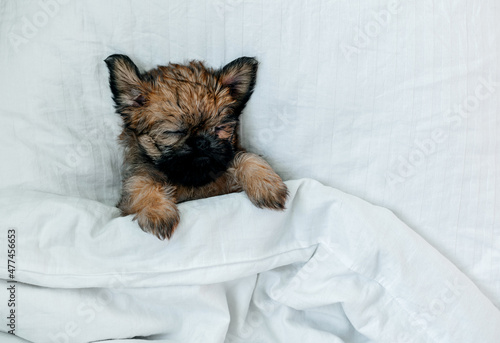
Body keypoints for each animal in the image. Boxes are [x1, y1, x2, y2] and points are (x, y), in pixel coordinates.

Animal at [105, 55, 290, 241]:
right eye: (175, 132)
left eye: (219, 128)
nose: (202, 142)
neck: (193, 178)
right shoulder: (134, 187)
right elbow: (139, 182)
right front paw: (157, 210)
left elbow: (247, 157)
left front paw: (266, 186)